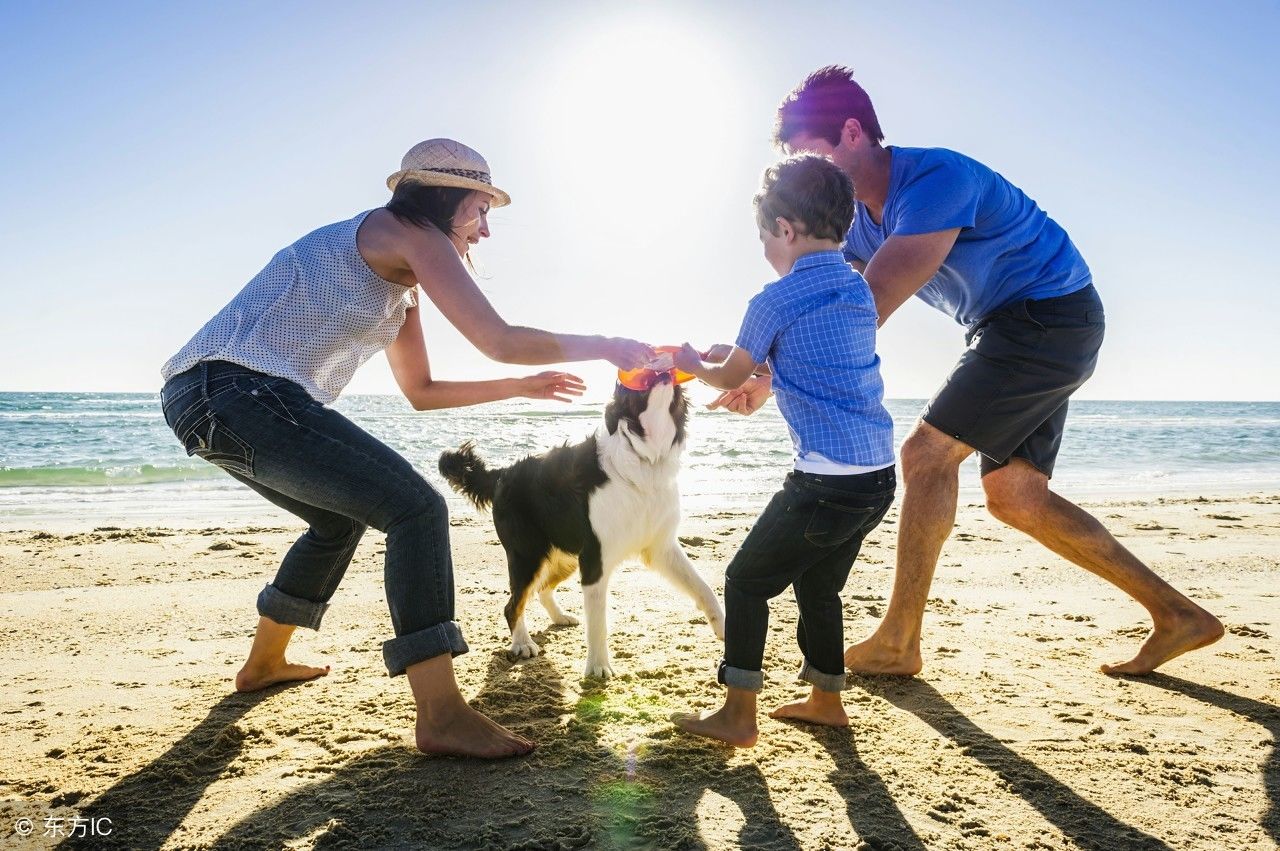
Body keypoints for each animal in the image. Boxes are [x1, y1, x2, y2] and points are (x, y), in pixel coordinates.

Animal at [437, 373, 721, 675]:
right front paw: (598, 668)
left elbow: (704, 588)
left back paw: (559, 617)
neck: (646, 458)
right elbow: (598, 622)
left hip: (564, 556)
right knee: (513, 604)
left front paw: (724, 629)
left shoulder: (660, 548)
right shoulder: (595, 559)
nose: (663, 371)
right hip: (529, 556)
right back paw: (522, 643)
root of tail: (502, 473)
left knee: (542, 590)